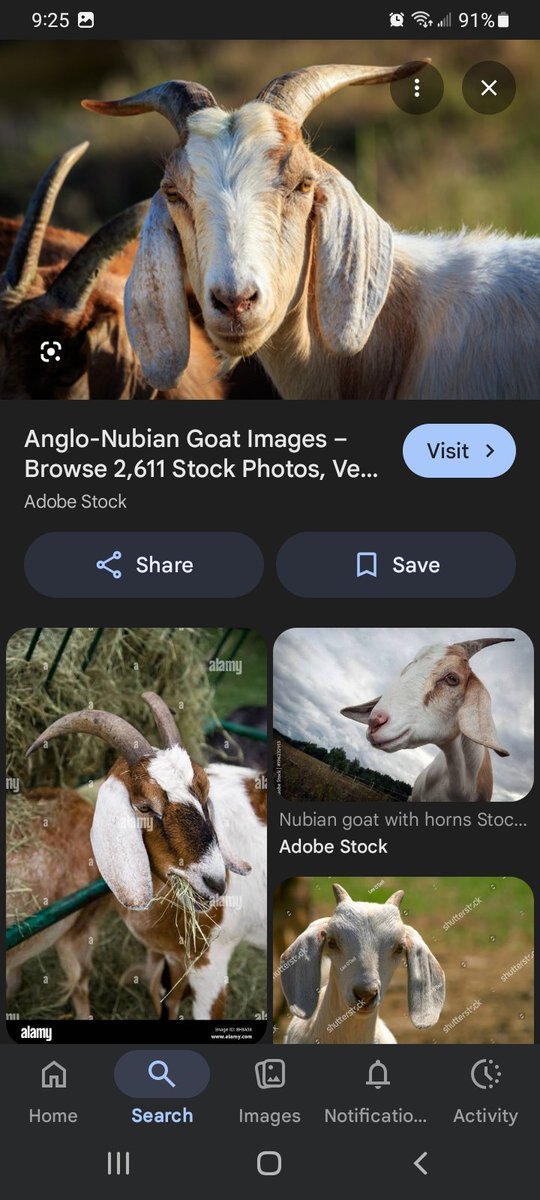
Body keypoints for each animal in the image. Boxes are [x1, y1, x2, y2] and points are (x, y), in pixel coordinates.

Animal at [24, 692, 267, 1020]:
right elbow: (167, 1003)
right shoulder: (174, 958)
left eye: (204, 793)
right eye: (143, 806)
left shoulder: (211, 964)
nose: (217, 882)